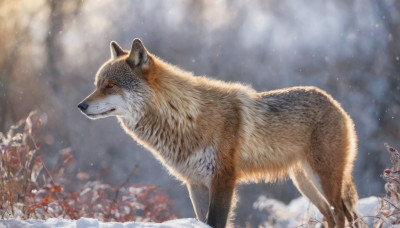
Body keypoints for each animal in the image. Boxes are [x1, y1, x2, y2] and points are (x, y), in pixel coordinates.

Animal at [78, 38, 360, 227]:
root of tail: (335, 103)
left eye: (110, 85)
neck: (184, 118)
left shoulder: (223, 180)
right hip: (304, 182)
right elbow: (203, 221)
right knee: (333, 215)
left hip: (324, 179)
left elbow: (216, 221)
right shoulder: (196, 184)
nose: (81, 106)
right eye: (96, 85)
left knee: (342, 214)